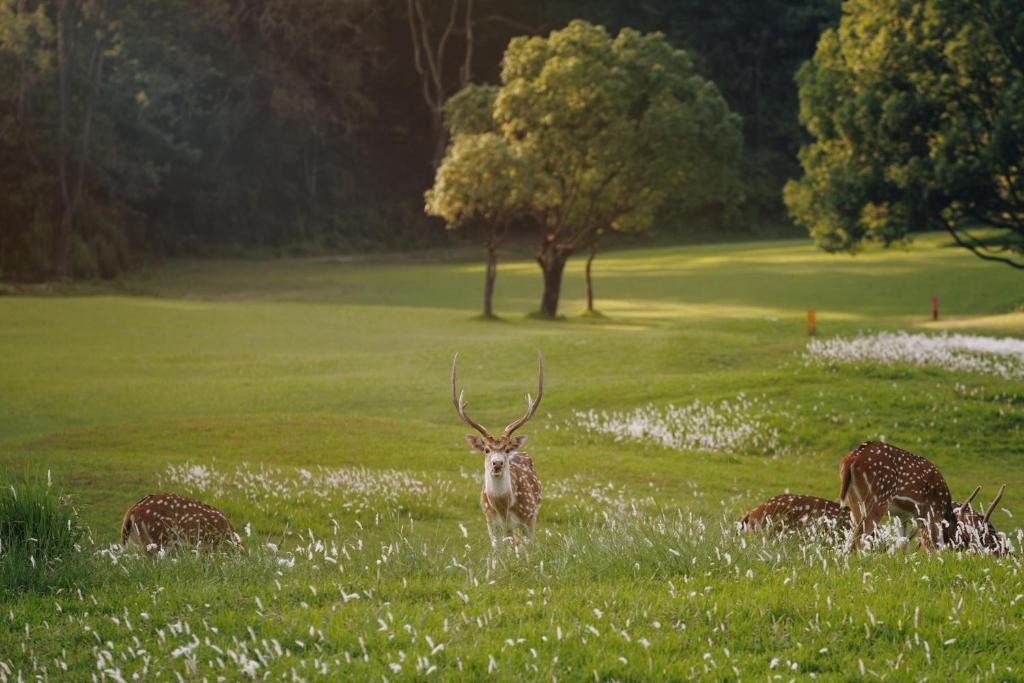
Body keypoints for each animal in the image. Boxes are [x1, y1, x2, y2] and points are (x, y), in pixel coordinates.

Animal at [451, 352, 543, 548]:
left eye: (507, 449)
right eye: (486, 449)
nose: (497, 463)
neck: (503, 508)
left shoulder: (528, 518)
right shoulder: (491, 524)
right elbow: (497, 553)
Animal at [839, 441, 993, 552]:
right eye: (965, 537)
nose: (961, 551)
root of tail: (851, 459)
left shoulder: (902, 516)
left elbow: (904, 544)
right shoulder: (933, 515)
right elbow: (937, 546)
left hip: (854, 499)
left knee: (854, 534)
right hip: (878, 498)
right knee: (861, 536)